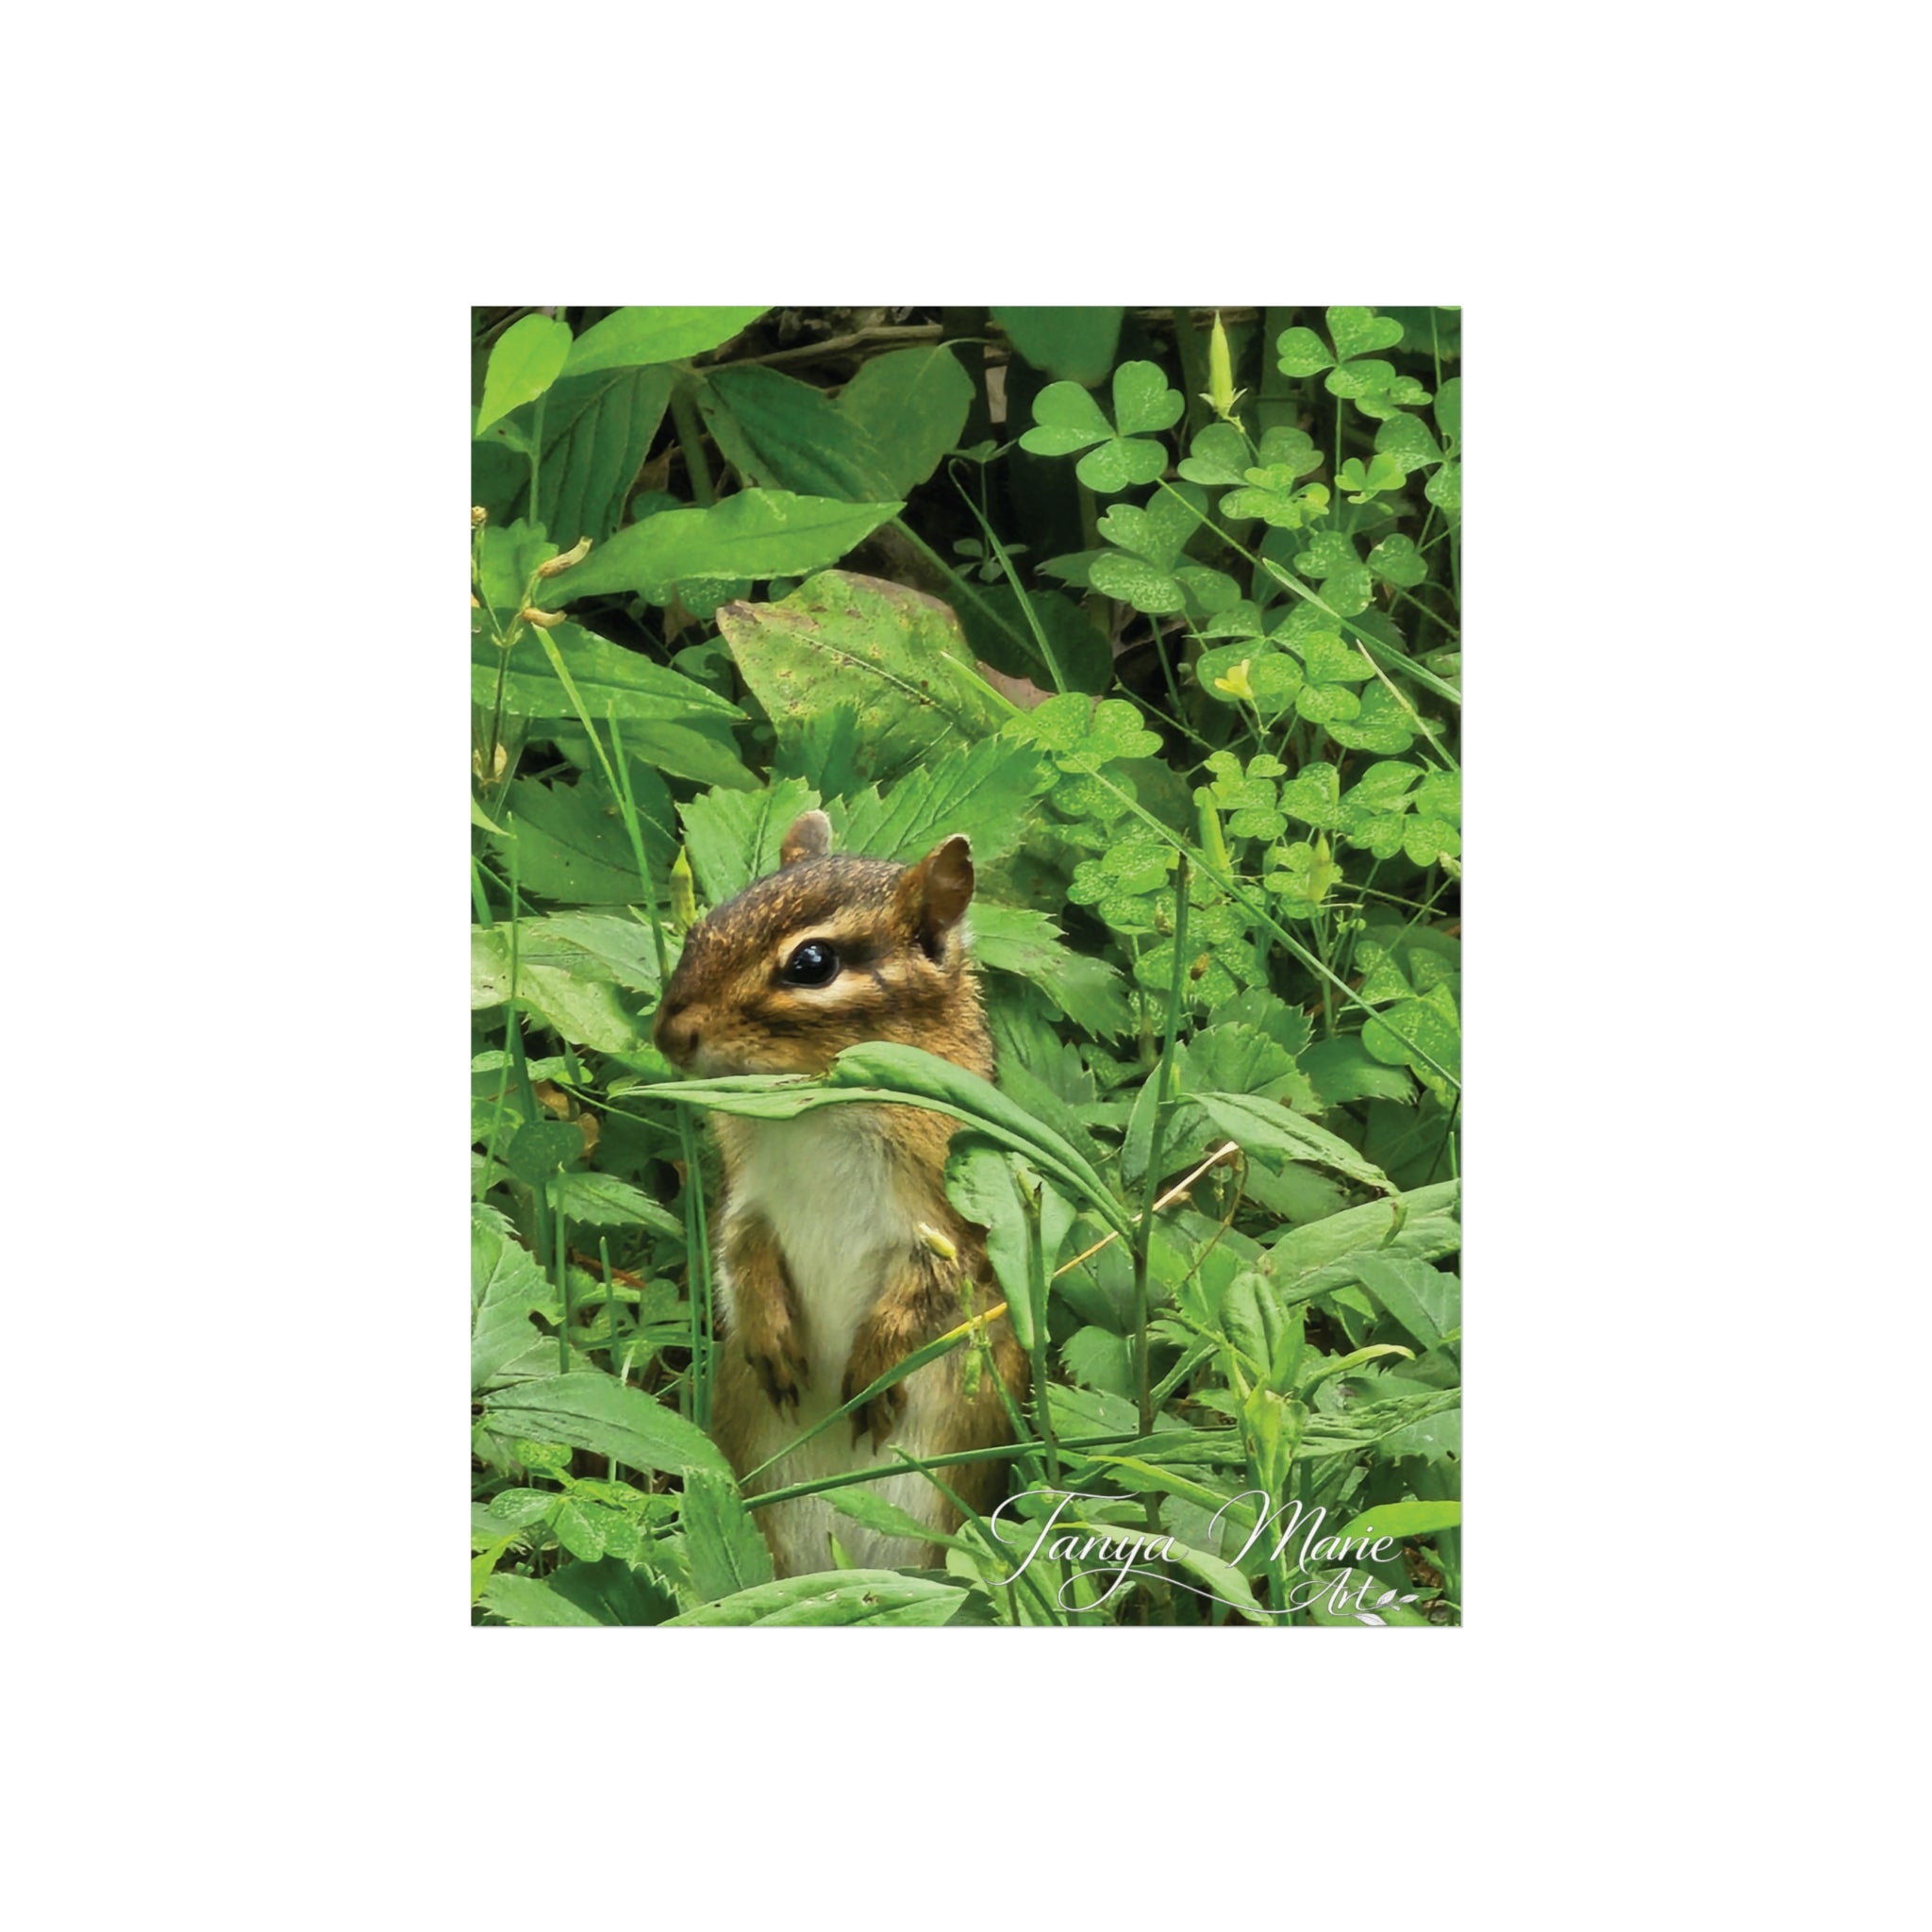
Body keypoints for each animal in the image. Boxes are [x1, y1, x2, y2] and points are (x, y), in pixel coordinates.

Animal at [654, 809, 1029, 1577]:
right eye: (706, 924)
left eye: (812, 964)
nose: (668, 1033)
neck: (814, 1112)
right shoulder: (747, 1198)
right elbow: (738, 1254)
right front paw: (769, 1336)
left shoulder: (947, 1220)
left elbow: (928, 1292)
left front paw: (873, 1372)